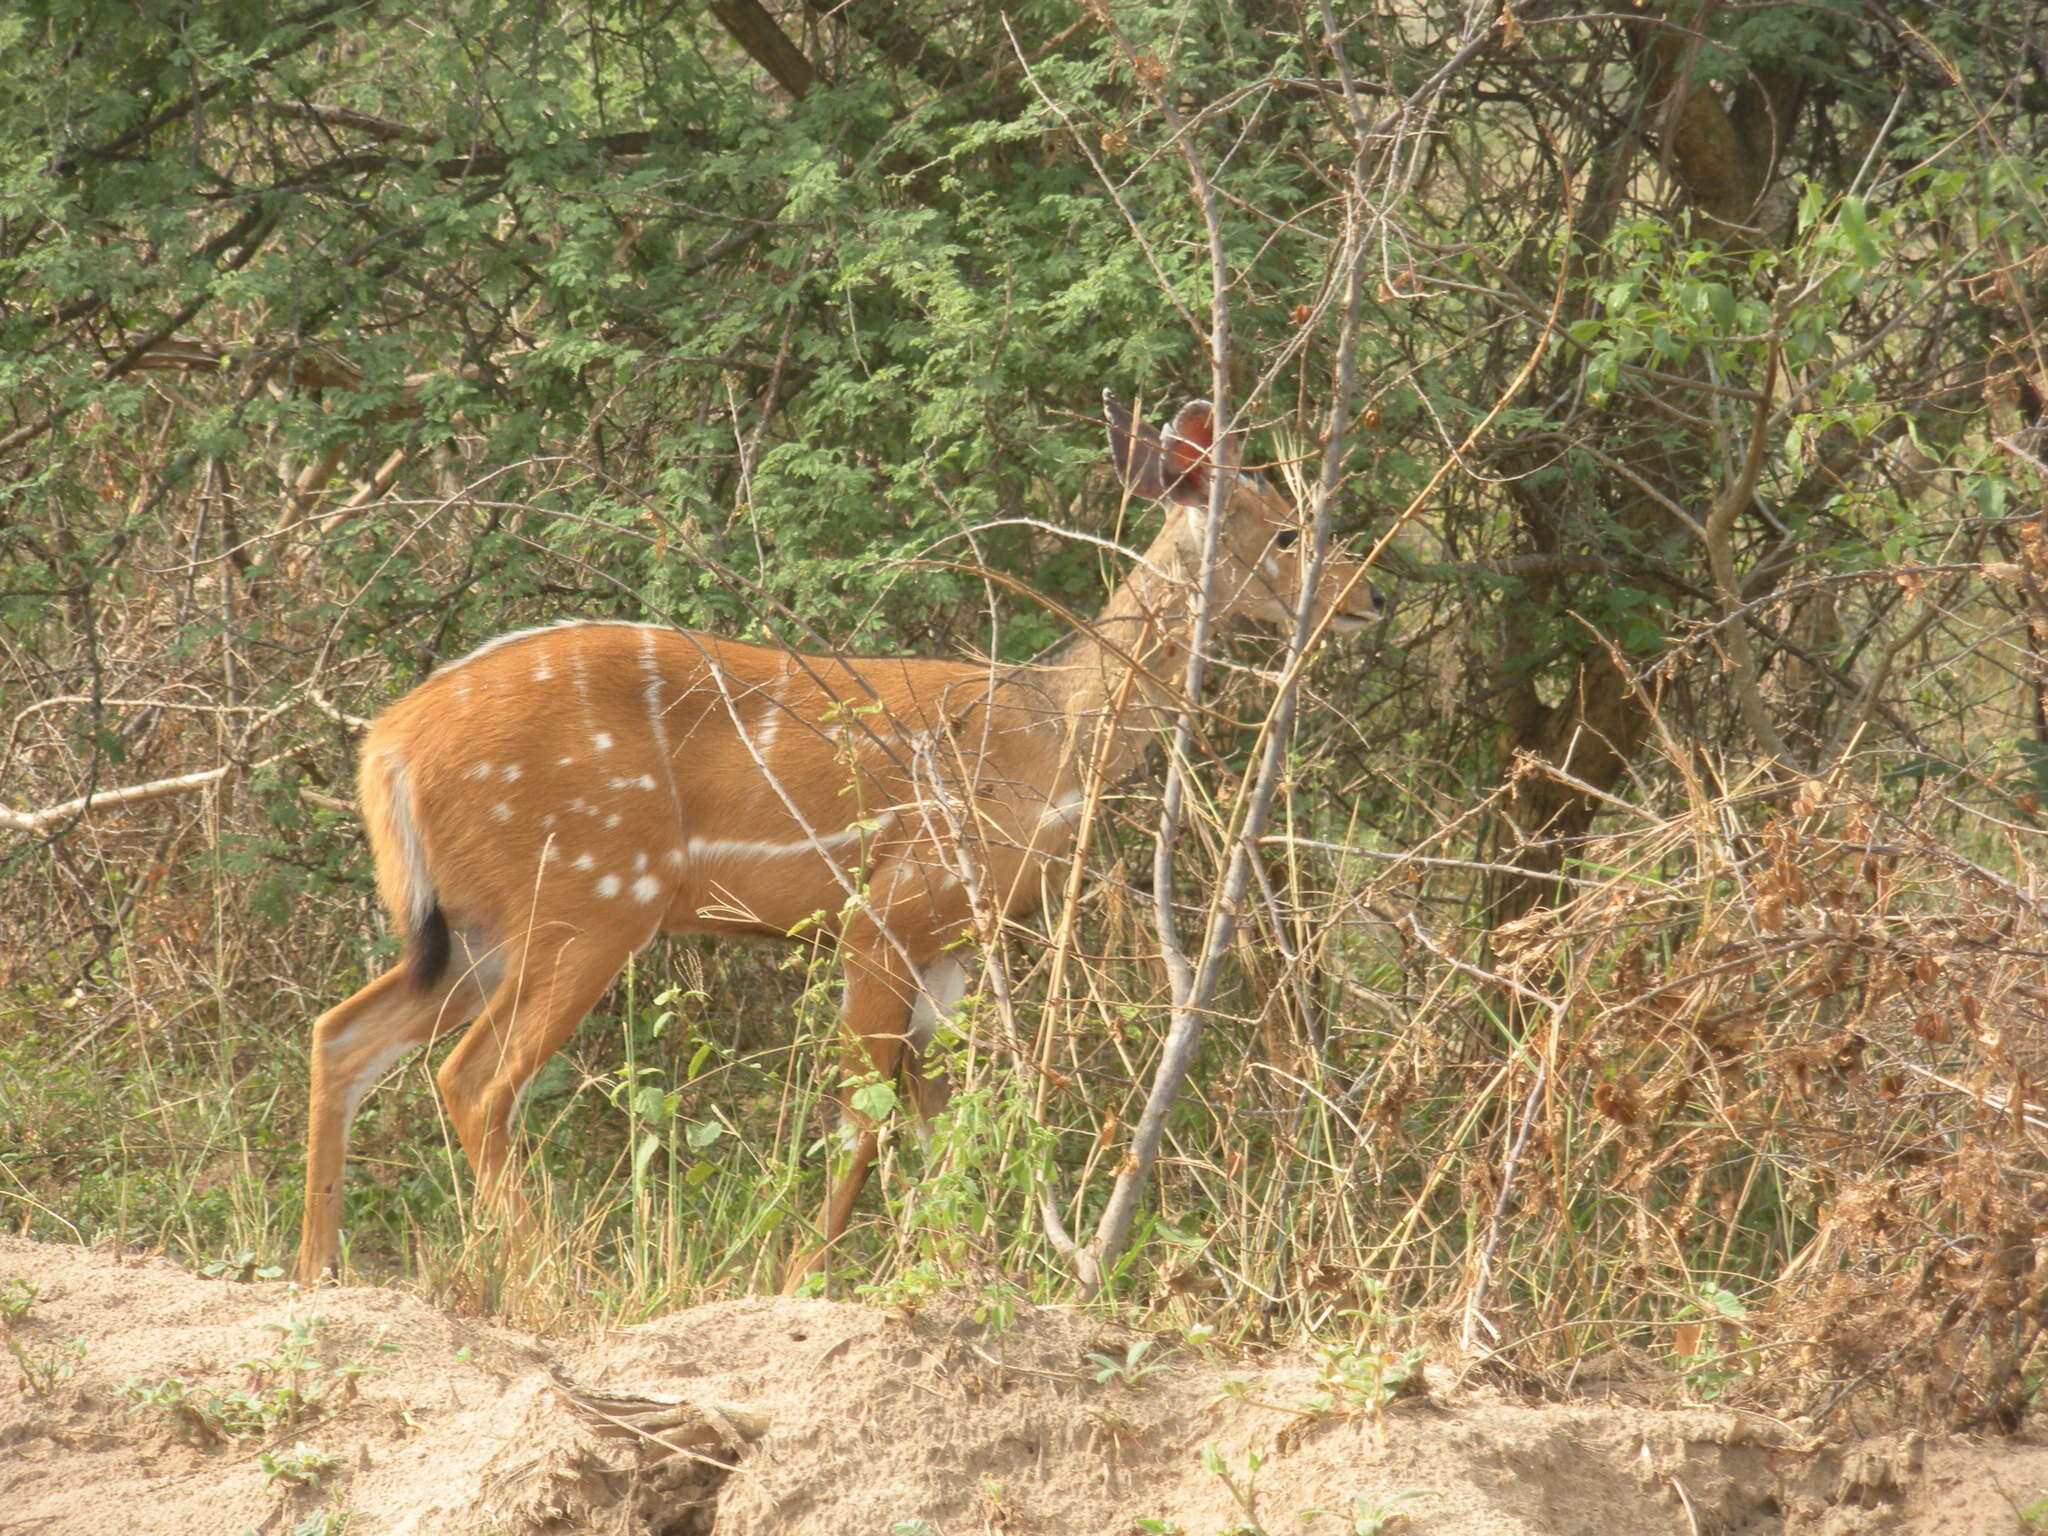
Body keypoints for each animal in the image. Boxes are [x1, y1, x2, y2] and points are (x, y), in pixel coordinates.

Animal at [299, 391, 1376, 1277]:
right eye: (1288, 530)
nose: (1366, 598)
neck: (1049, 747)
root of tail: (388, 745)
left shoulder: (952, 948)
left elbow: (938, 1133)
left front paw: (954, 1275)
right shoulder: (889, 914)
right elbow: (866, 1125)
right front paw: (803, 1282)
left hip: (480, 928)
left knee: (341, 1034)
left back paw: (319, 1274)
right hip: (587, 899)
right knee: (474, 1080)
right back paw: (553, 1272)